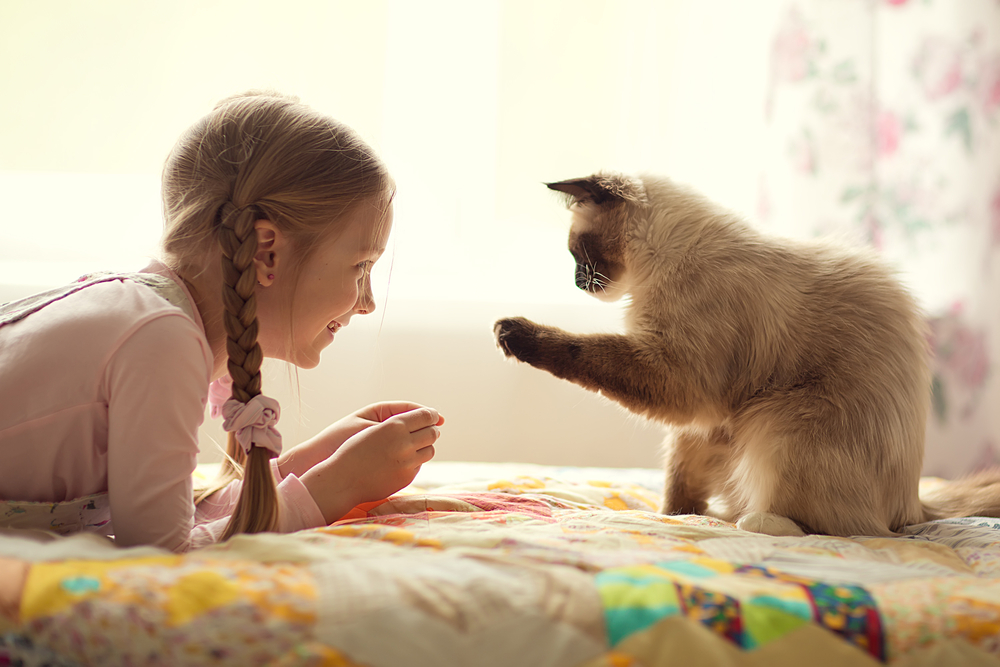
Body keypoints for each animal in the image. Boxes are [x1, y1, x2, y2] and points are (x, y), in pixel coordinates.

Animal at [494, 171, 1000, 536]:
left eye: (575, 252)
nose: (577, 282)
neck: (661, 266)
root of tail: (914, 508)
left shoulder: (678, 379)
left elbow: (579, 349)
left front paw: (512, 333)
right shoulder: (705, 418)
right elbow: (679, 481)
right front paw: (671, 517)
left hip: (779, 420)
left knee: (842, 530)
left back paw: (750, 522)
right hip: (745, 425)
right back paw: (721, 516)